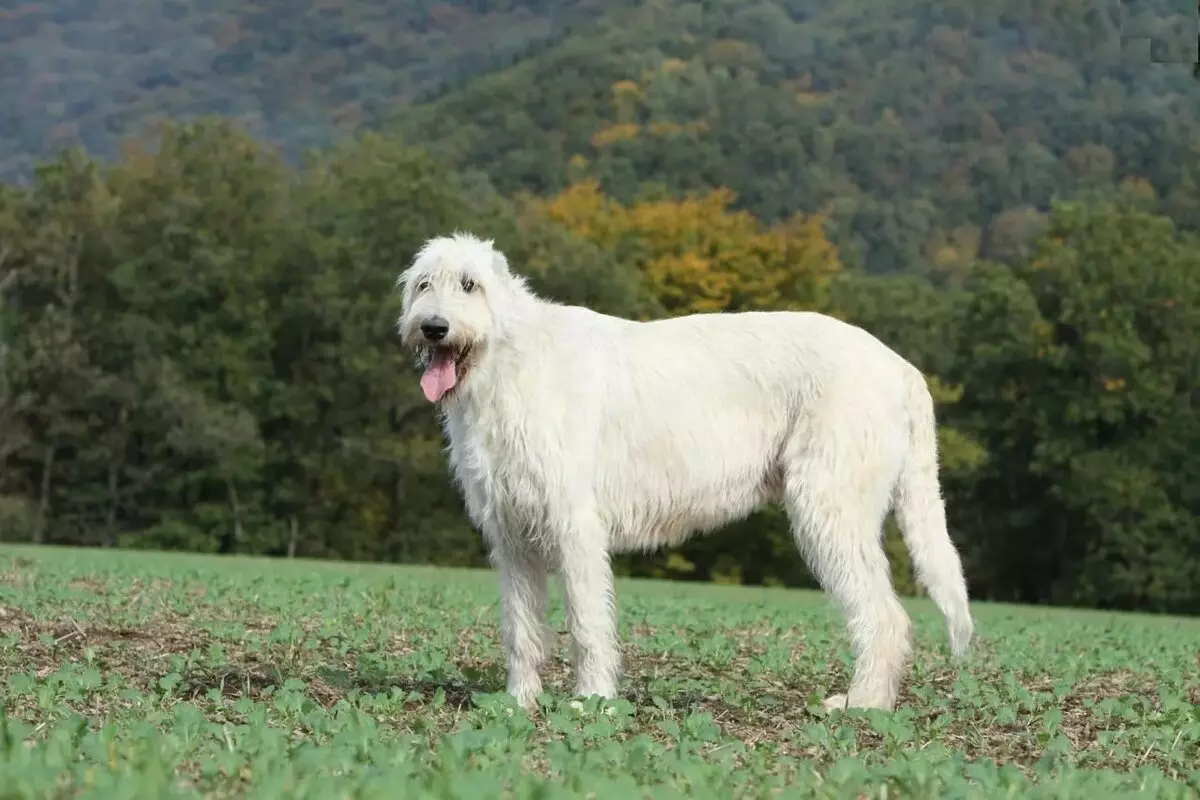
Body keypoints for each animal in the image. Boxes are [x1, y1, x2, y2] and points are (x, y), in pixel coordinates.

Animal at [398, 231, 969, 714]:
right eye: (424, 283)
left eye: (470, 284)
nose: (433, 327)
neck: (509, 359)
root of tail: (902, 368)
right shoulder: (513, 534)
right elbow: (520, 626)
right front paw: (520, 701)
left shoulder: (574, 526)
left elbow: (586, 622)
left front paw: (592, 701)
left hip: (830, 507)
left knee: (885, 616)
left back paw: (861, 705)